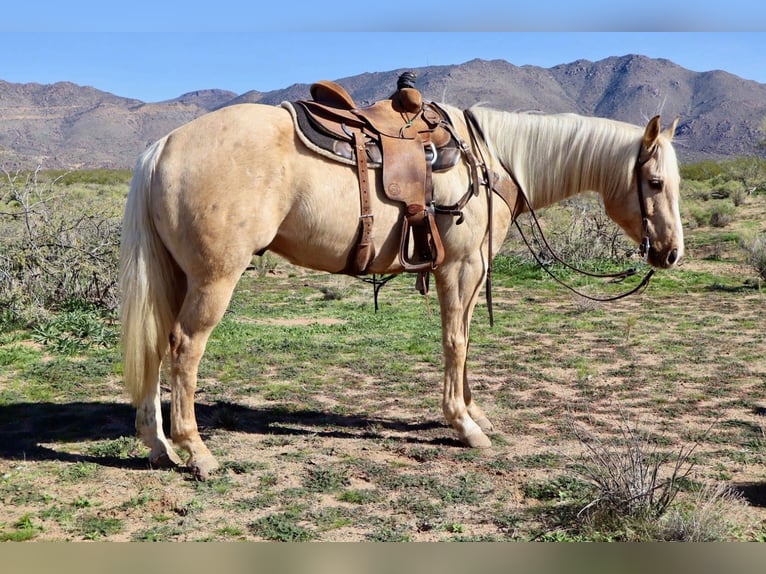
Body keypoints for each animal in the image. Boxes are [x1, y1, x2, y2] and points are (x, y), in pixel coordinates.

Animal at [119, 100, 683, 480]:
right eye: (655, 183)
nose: (672, 252)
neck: (491, 162)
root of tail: (163, 146)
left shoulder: (469, 271)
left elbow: (465, 340)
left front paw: (473, 411)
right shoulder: (460, 267)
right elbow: (456, 342)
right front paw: (465, 426)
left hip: (177, 276)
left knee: (156, 346)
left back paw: (158, 446)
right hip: (214, 278)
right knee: (184, 349)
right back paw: (197, 453)